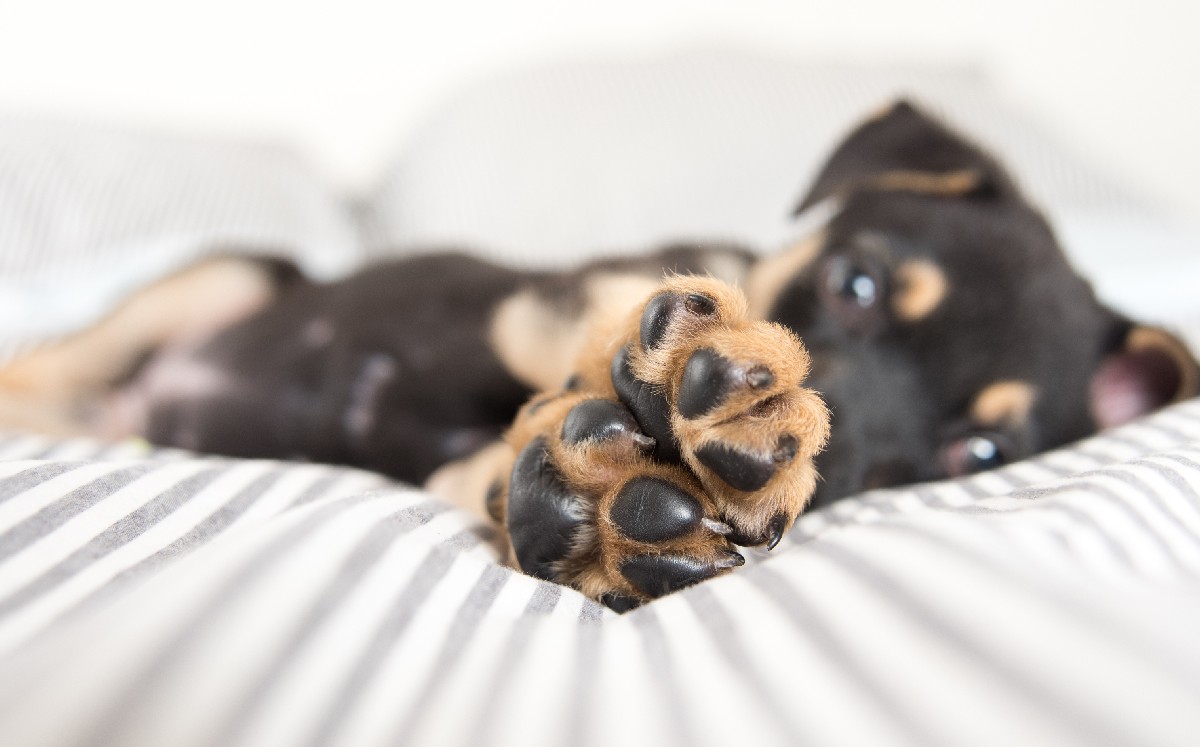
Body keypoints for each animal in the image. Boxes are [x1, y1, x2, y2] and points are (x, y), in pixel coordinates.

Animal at [2, 101, 1196, 610]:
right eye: (854, 285)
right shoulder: (576, 285)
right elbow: (621, 309)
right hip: (230, 276)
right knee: (42, 366)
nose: (827, 462)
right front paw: (699, 386)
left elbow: (494, 462)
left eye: (980, 454)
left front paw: (595, 505)